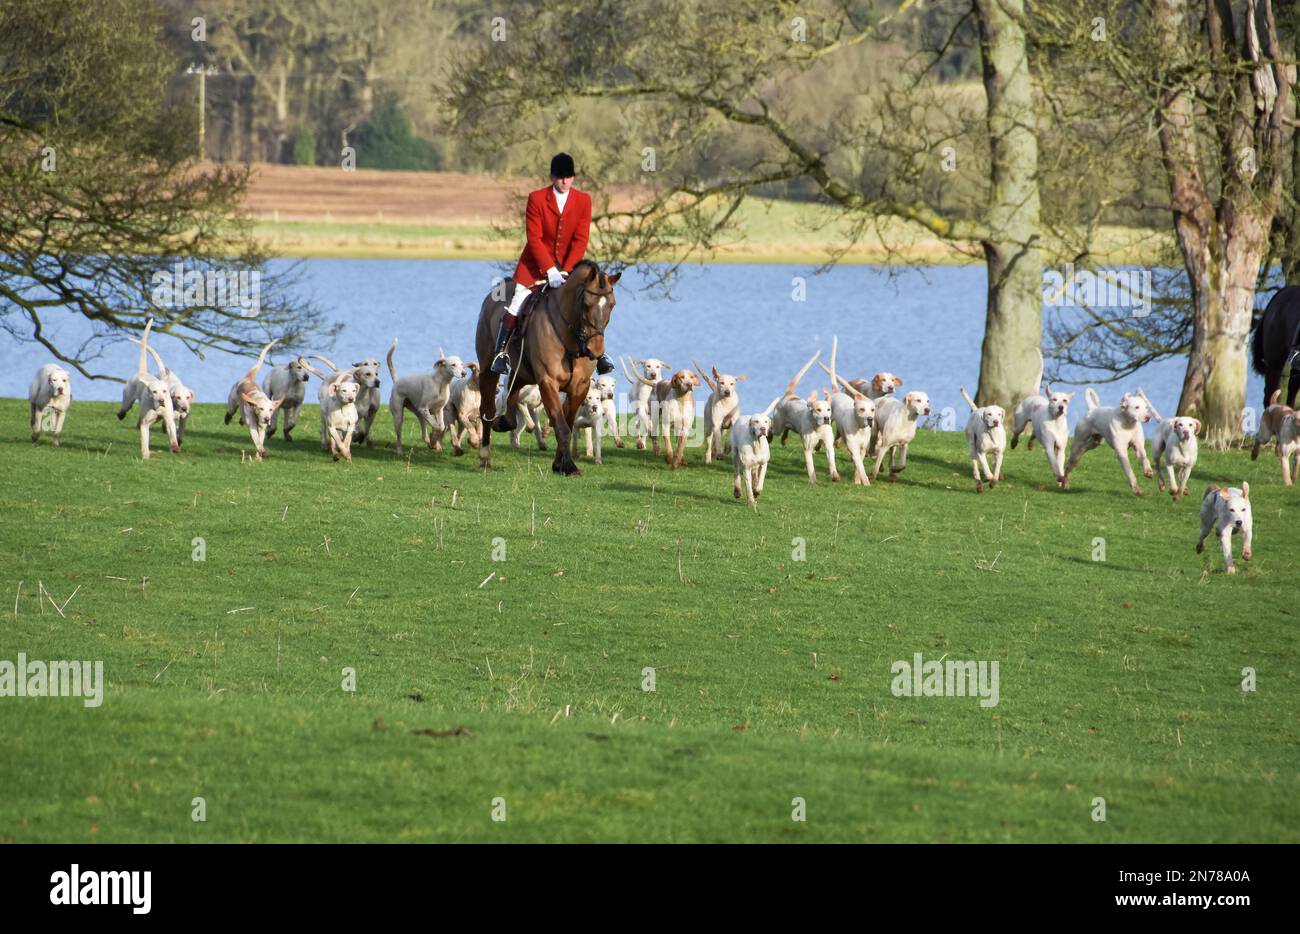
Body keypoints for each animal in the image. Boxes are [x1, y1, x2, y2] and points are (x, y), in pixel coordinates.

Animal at [475, 260, 621, 476]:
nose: (595, 351)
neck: (572, 340)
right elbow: (561, 426)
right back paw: (485, 455)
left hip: (523, 372)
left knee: (512, 392)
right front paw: (569, 466)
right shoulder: (548, 382)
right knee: (488, 408)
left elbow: (567, 423)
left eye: (612, 305)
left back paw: (505, 422)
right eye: (586, 305)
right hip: (488, 370)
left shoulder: (580, 386)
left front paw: (559, 464)